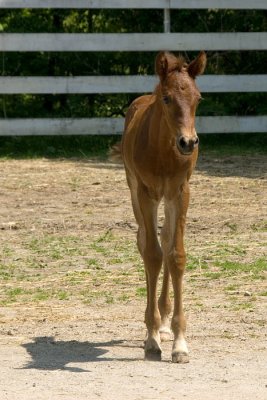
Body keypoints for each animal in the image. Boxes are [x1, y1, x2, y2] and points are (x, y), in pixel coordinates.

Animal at [118, 50, 206, 362]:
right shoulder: (146, 193)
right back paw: (152, 329)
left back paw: (165, 322)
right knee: (144, 241)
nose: (188, 142)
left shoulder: (180, 193)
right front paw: (152, 339)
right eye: (166, 98)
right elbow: (153, 255)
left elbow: (175, 254)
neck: (163, 150)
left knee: (165, 239)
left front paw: (179, 342)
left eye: (198, 98)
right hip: (136, 192)